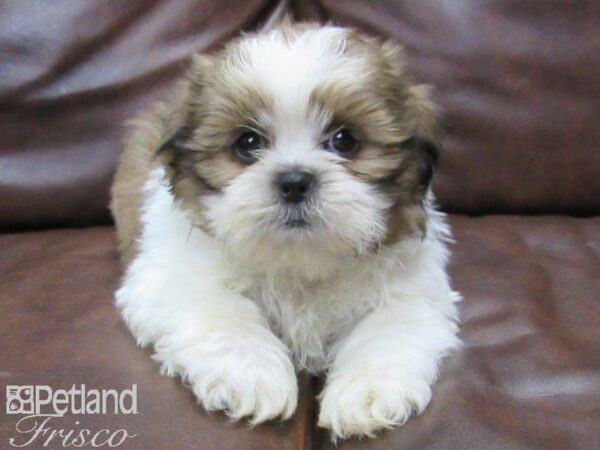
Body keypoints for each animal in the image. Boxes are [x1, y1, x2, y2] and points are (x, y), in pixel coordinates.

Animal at [111, 21, 460, 440]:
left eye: (345, 140)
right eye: (247, 143)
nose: (295, 181)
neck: (298, 261)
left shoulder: (415, 286)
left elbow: (389, 325)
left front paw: (367, 389)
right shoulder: (167, 277)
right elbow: (223, 309)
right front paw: (252, 373)